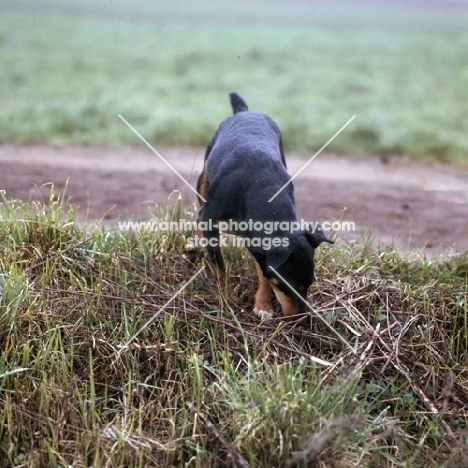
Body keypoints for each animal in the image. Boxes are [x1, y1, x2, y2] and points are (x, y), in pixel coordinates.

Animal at [195, 94, 332, 322]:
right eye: (286, 286)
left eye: (310, 284)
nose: (302, 320)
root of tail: (245, 112)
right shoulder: (210, 221)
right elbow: (220, 265)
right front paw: (227, 296)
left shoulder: (259, 246)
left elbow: (263, 273)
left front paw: (263, 305)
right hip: (204, 176)